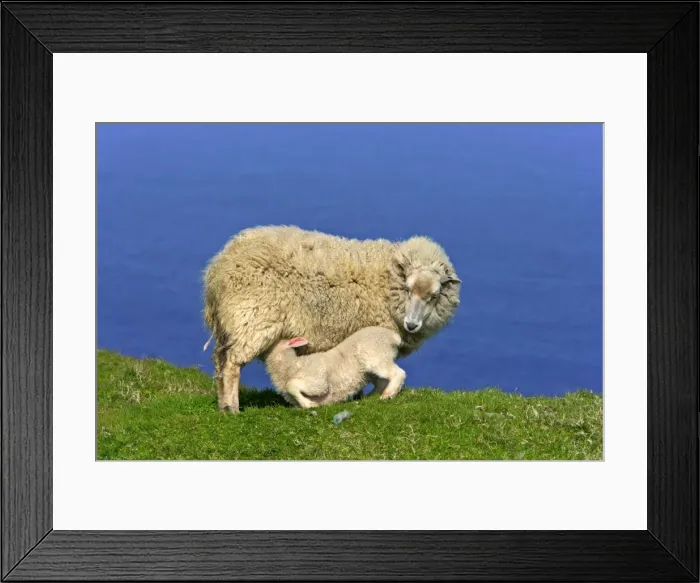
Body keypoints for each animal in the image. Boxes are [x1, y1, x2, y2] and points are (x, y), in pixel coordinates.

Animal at [264, 327, 406, 408]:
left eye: (271, 341)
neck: (291, 365)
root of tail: (393, 336)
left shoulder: (317, 380)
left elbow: (292, 385)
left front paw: (310, 404)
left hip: (376, 356)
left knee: (398, 373)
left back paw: (388, 394)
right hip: (370, 370)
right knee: (381, 382)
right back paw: (370, 397)